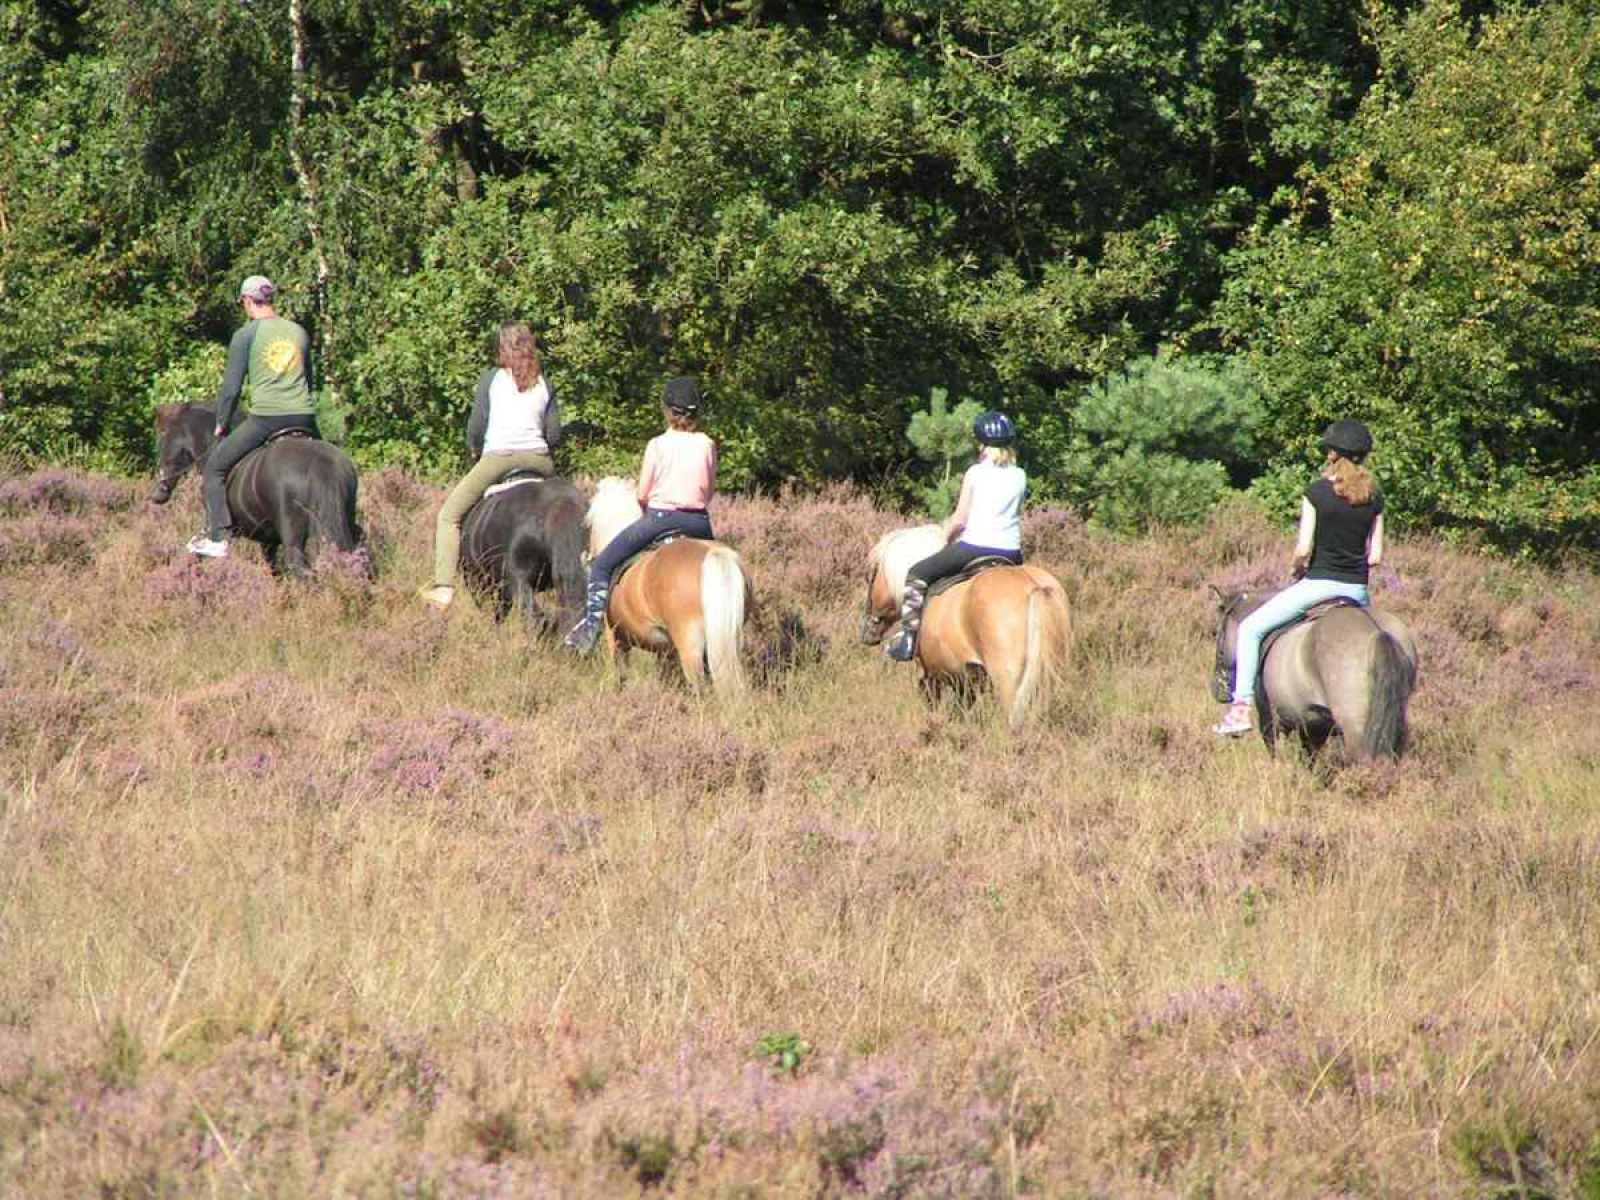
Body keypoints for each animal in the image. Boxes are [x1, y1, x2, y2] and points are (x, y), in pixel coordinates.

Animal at [148, 401, 364, 579]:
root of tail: (321, 464)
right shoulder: (268, 540)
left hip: (293, 535)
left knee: (300, 568)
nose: (158, 494)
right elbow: (274, 570)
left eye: (162, 440)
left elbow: (198, 556)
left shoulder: (221, 530)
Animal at [585, 480, 752, 700]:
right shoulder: (664, 650)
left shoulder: (616, 638)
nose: (587, 557)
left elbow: (620, 676)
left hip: (690, 646)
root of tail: (714, 554)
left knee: (698, 685)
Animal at [864, 524, 1075, 732]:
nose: (868, 633)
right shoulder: (966, 678)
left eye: (870, 578)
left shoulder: (931, 674)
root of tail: (1034, 585)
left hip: (1008, 680)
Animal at [1209, 588, 1427, 761]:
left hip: (1354, 728)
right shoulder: (1313, 727)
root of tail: (1376, 630)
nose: (1216, 688)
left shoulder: (1271, 721)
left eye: (1217, 633)